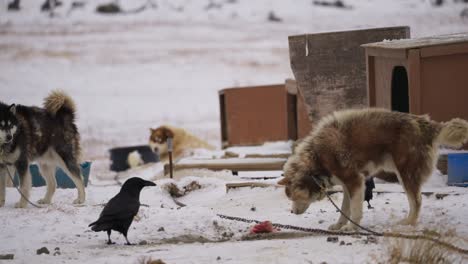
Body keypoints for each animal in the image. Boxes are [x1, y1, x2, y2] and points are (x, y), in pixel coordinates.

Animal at [278, 107, 468, 231]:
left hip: (405, 174)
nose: (292, 212)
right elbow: (345, 209)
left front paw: (352, 227)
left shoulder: (354, 181)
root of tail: (425, 123)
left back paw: (408, 223)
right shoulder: (348, 185)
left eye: (294, 197)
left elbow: (354, 209)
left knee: (417, 201)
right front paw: (340, 225)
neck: (317, 156)